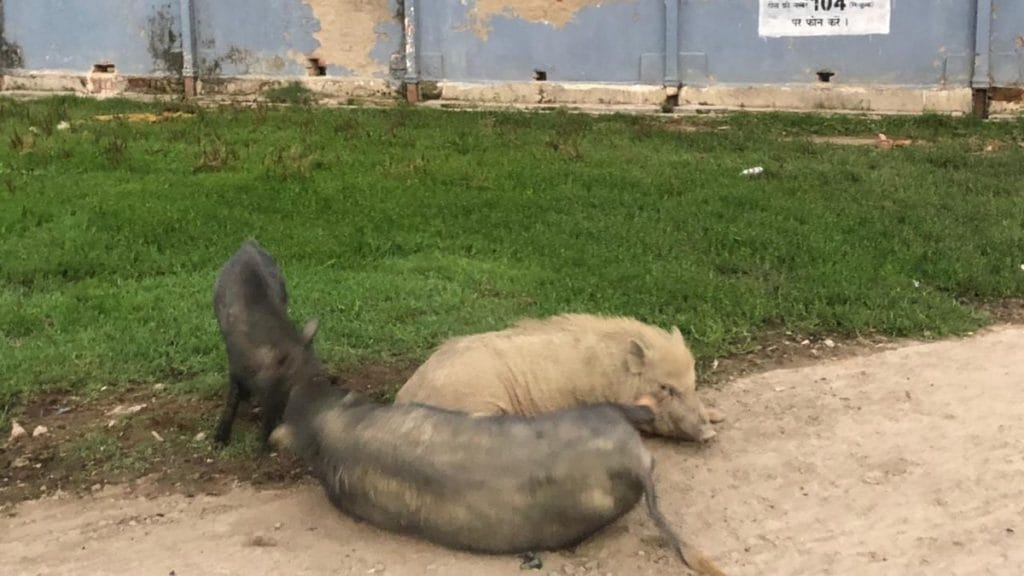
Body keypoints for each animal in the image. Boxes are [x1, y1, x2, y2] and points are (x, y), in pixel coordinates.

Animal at [270, 358, 727, 576]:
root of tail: (634, 464)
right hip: (598, 416)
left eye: (324, 385)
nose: (308, 377)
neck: (331, 429)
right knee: (631, 410)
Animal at [394, 313, 724, 443]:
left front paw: (720, 416)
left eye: (692, 384)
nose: (710, 435)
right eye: (665, 387)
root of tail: (404, 396)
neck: (612, 378)